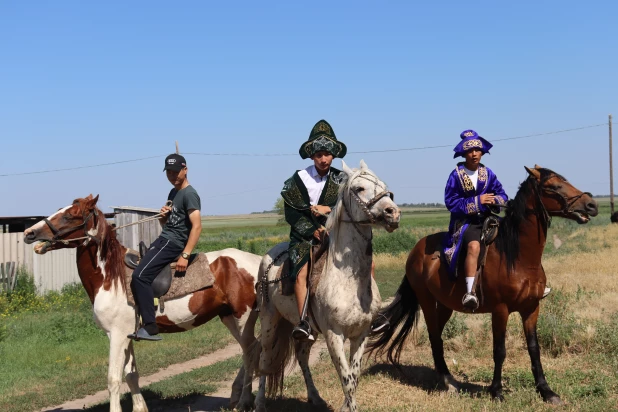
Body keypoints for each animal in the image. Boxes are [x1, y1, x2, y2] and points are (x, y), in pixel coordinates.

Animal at [23, 196, 260, 412]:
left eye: (70, 215)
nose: (29, 233)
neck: (111, 278)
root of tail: (257, 261)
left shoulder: (117, 335)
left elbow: (113, 379)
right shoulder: (126, 335)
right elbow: (131, 375)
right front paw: (140, 408)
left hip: (243, 317)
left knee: (250, 352)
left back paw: (244, 401)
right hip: (228, 317)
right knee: (247, 349)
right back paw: (236, 396)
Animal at [248, 161, 402, 412]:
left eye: (382, 185)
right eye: (359, 188)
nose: (393, 213)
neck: (348, 280)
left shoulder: (361, 334)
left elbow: (354, 377)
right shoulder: (334, 335)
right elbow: (346, 379)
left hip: (306, 331)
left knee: (301, 357)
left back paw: (315, 397)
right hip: (270, 321)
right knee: (265, 358)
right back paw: (260, 403)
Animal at [366, 164, 596, 402]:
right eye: (554, 187)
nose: (591, 204)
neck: (518, 257)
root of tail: (416, 250)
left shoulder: (532, 308)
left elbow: (534, 348)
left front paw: (546, 390)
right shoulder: (500, 310)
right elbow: (499, 350)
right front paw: (496, 391)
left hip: (445, 304)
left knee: (437, 335)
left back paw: (446, 377)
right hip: (426, 300)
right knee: (434, 335)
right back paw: (447, 381)